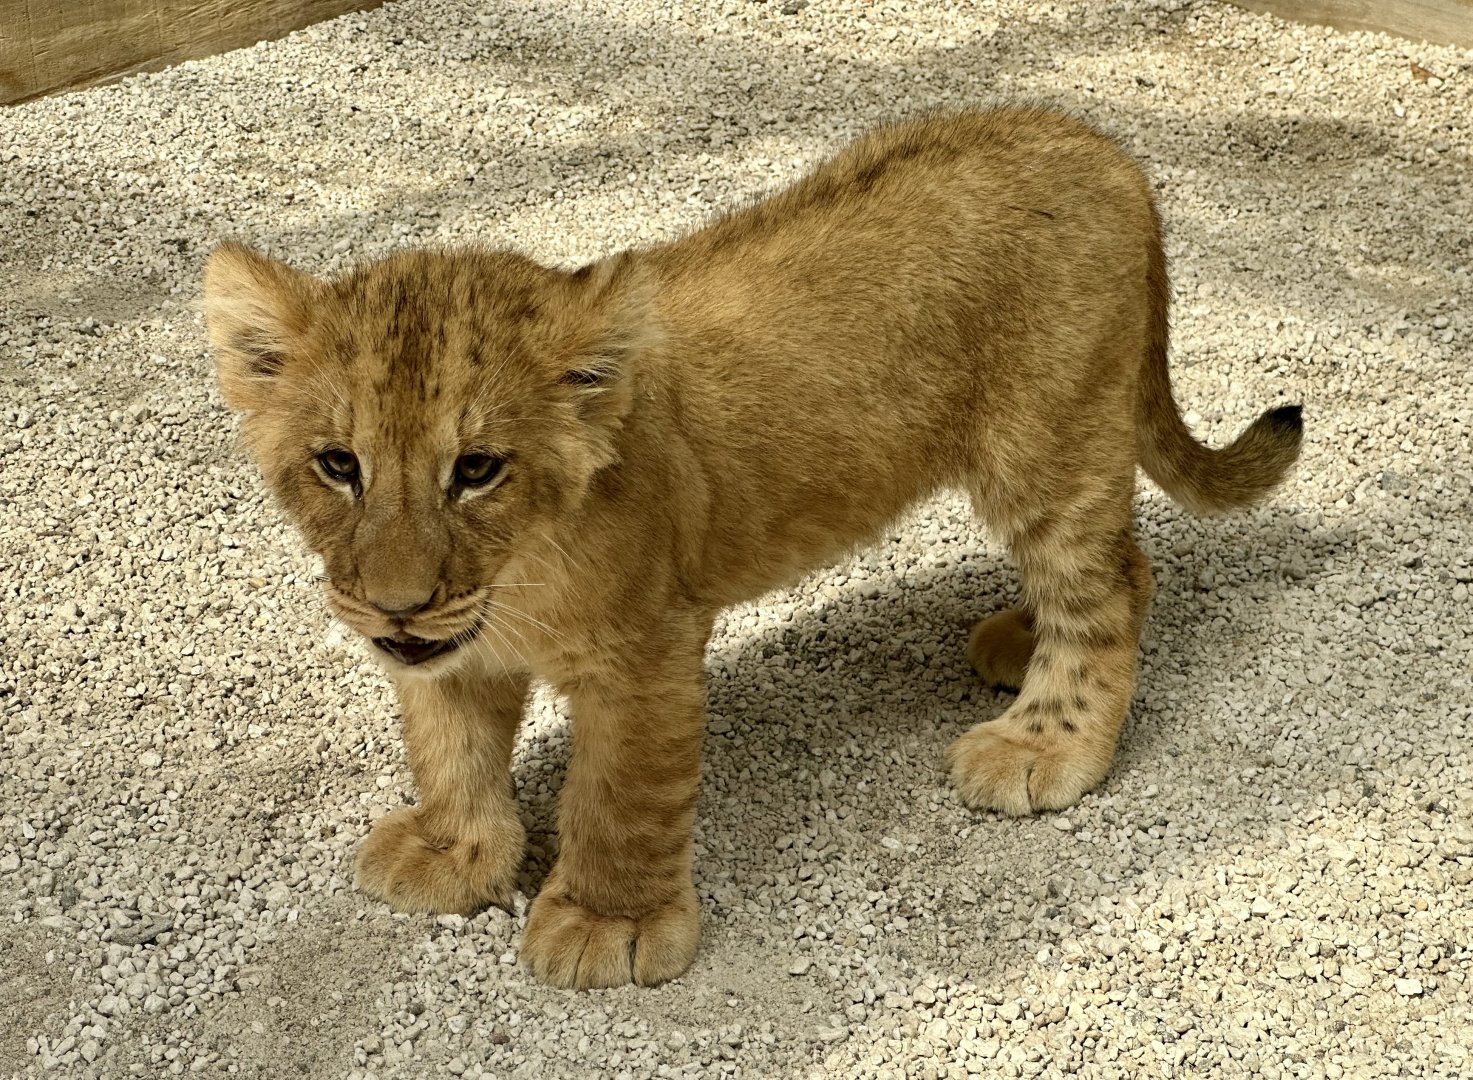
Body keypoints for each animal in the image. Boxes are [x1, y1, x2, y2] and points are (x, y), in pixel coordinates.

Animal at [203, 106, 1302, 989]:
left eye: (477, 469)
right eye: (338, 465)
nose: (391, 603)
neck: (517, 574)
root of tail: (1097, 143)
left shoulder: (648, 647)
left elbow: (623, 792)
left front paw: (607, 922)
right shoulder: (452, 644)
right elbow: (447, 743)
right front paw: (455, 851)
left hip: (1048, 441)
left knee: (1112, 578)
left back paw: (1045, 742)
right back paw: (1014, 640)